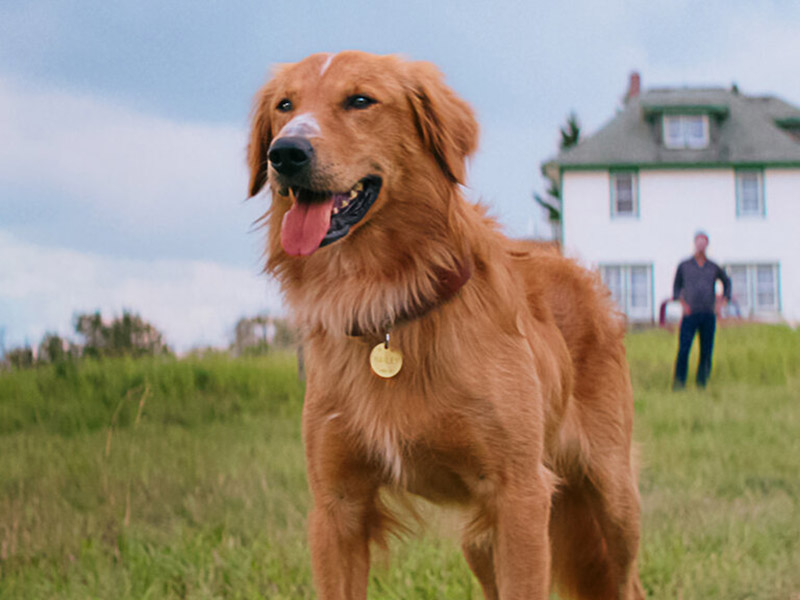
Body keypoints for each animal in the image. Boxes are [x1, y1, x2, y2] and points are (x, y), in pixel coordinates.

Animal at [247, 52, 640, 600]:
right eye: (285, 106)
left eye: (360, 100)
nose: (285, 153)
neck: (387, 301)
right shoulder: (336, 507)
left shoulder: (521, 493)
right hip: (481, 539)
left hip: (613, 498)